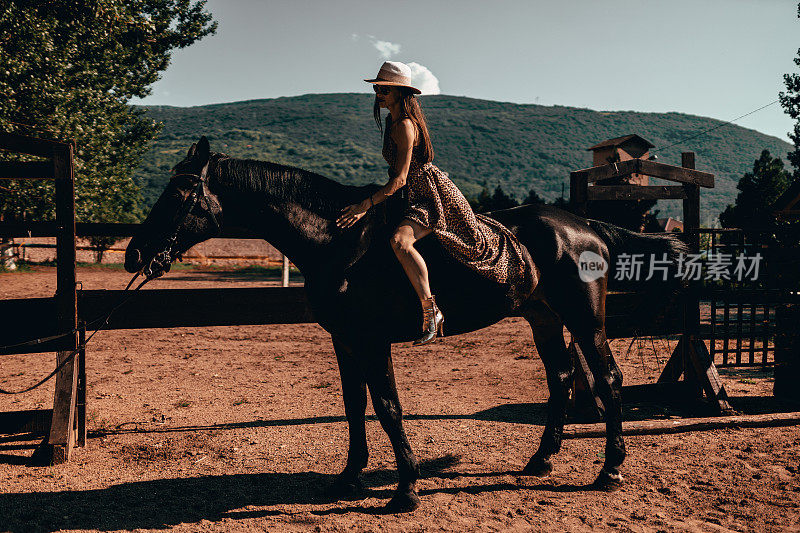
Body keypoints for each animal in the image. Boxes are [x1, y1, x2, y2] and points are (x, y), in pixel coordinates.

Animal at [126, 136, 688, 512]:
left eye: (179, 192)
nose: (135, 253)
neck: (338, 242)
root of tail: (584, 225)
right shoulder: (346, 341)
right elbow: (355, 407)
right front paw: (349, 478)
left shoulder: (373, 342)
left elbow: (388, 407)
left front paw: (406, 489)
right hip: (543, 318)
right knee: (562, 379)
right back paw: (541, 460)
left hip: (585, 320)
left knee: (608, 379)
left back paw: (610, 469)